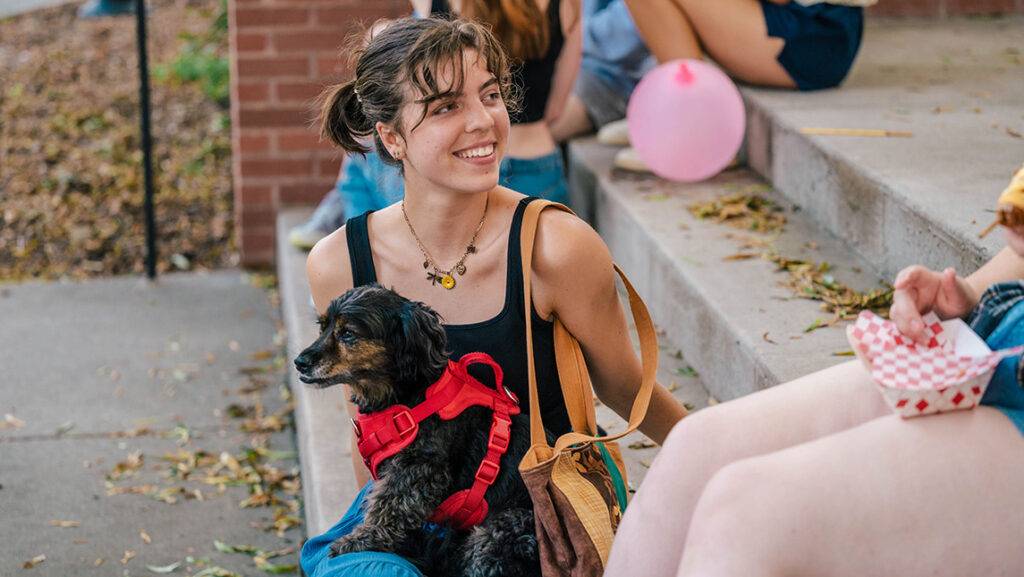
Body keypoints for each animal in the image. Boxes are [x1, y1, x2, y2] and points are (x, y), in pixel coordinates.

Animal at [294, 284, 540, 577]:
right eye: (322, 327)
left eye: (348, 333)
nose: (299, 361)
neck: (406, 398)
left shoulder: (419, 470)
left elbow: (388, 507)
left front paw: (358, 540)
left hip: (503, 531)